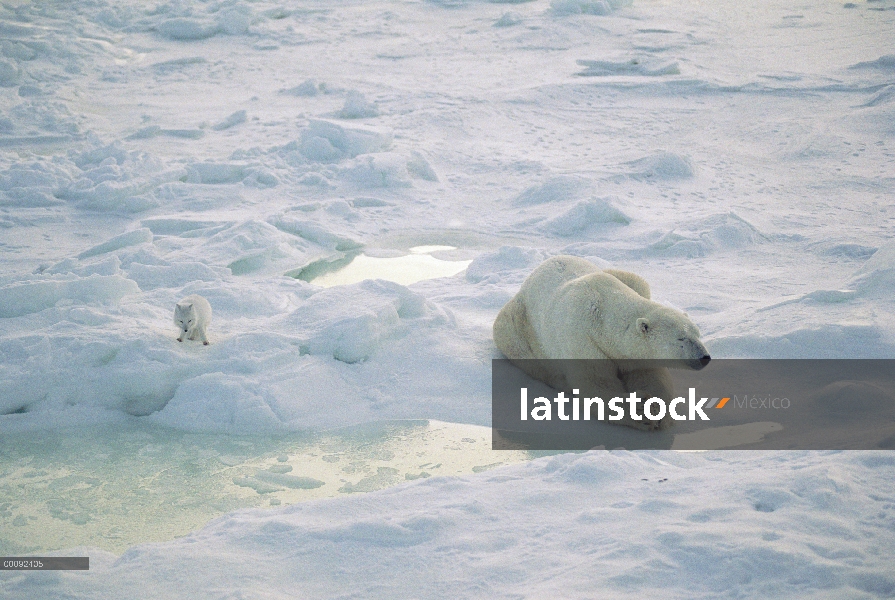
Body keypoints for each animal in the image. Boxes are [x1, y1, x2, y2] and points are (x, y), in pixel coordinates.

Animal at [494, 255, 712, 428]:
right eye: (681, 338)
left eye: (697, 334)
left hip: (630, 279)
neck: (602, 313)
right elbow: (597, 383)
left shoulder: (635, 355)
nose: (704, 357)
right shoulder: (583, 340)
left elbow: (651, 377)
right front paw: (640, 411)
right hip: (517, 327)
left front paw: (656, 410)